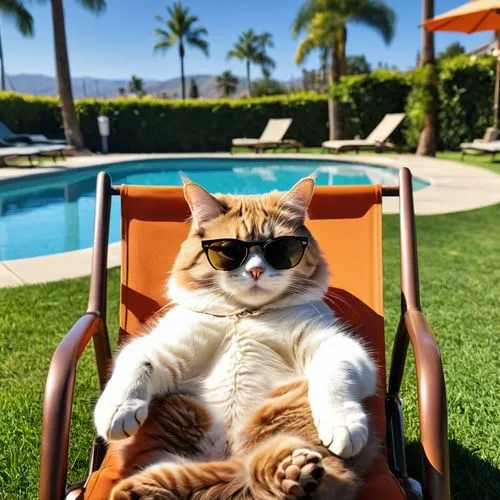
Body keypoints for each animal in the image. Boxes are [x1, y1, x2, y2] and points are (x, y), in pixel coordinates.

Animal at [94, 178, 376, 498]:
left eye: (281, 250)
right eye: (228, 251)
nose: (255, 270)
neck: (244, 315)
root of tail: (231, 459)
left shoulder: (339, 346)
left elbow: (334, 373)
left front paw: (342, 423)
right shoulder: (164, 349)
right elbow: (137, 363)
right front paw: (117, 409)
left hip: (289, 414)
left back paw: (292, 472)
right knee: (143, 484)